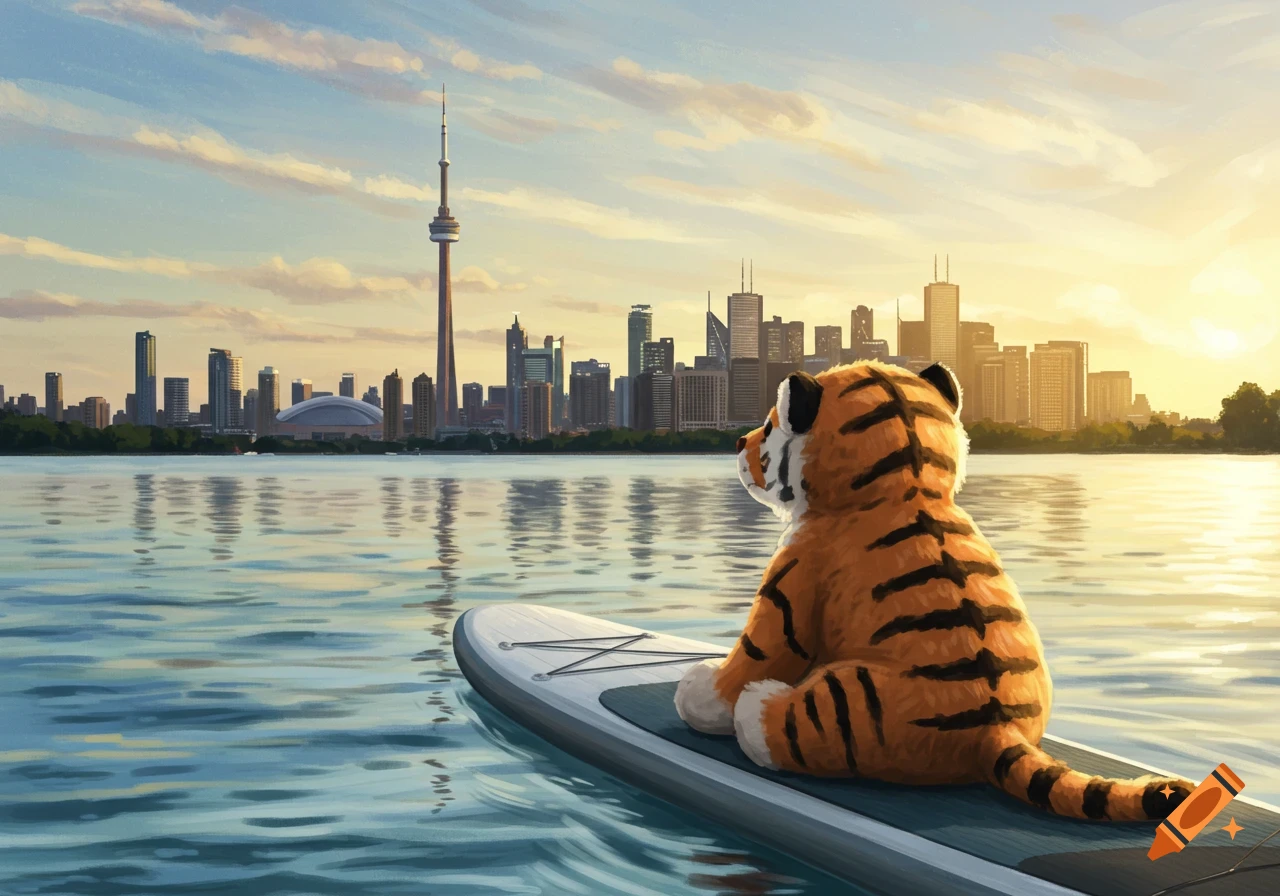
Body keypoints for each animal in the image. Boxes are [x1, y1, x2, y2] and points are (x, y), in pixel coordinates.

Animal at [674, 360, 1194, 821]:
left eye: (769, 425)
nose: (738, 441)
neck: (908, 480)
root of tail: (999, 732)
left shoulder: (794, 580)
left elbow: (754, 653)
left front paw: (700, 688)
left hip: (853, 707)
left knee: (775, 720)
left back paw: (758, 707)